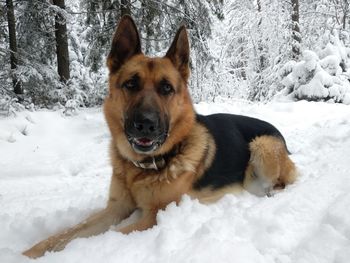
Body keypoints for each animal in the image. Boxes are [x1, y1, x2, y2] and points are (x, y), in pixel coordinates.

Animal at [22, 15, 296, 258]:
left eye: (166, 88)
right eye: (131, 84)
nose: (145, 125)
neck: (141, 168)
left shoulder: (153, 217)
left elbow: (104, 237)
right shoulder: (116, 207)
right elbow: (67, 234)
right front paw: (29, 252)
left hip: (261, 147)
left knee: (279, 183)